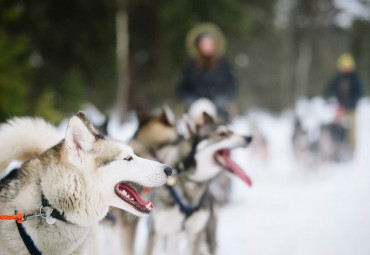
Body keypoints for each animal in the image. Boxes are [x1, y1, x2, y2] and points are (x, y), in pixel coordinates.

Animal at [146, 114, 253, 255]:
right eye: (222, 134)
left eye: (233, 131)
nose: (249, 138)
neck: (190, 180)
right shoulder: (156, 235)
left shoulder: (196, 236)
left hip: (207, 239)